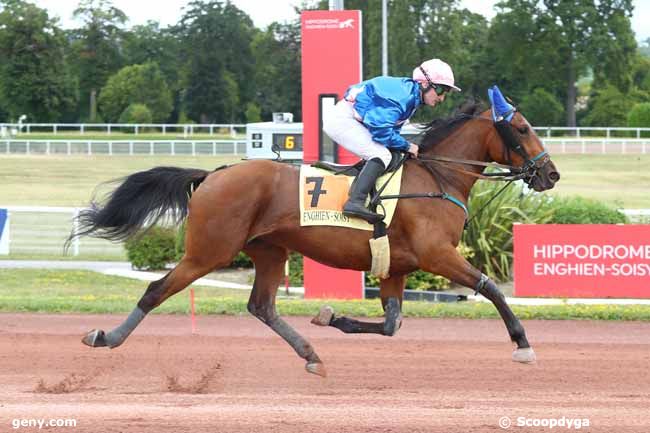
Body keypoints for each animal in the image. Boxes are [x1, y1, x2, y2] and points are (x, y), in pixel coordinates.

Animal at [69, 98, 556, 374]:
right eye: (524, 128)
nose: (550, 174)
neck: (437, 177)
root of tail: (212, 174)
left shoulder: (396, 267)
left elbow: (392, 324)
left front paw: (331, 317)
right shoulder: (436, 254)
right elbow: (491, 287)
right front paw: (522, 343)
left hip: (269, 250)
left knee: (261, 306)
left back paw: (311, 354)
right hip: (210, 250)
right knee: (156, 289)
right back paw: (106, 337)